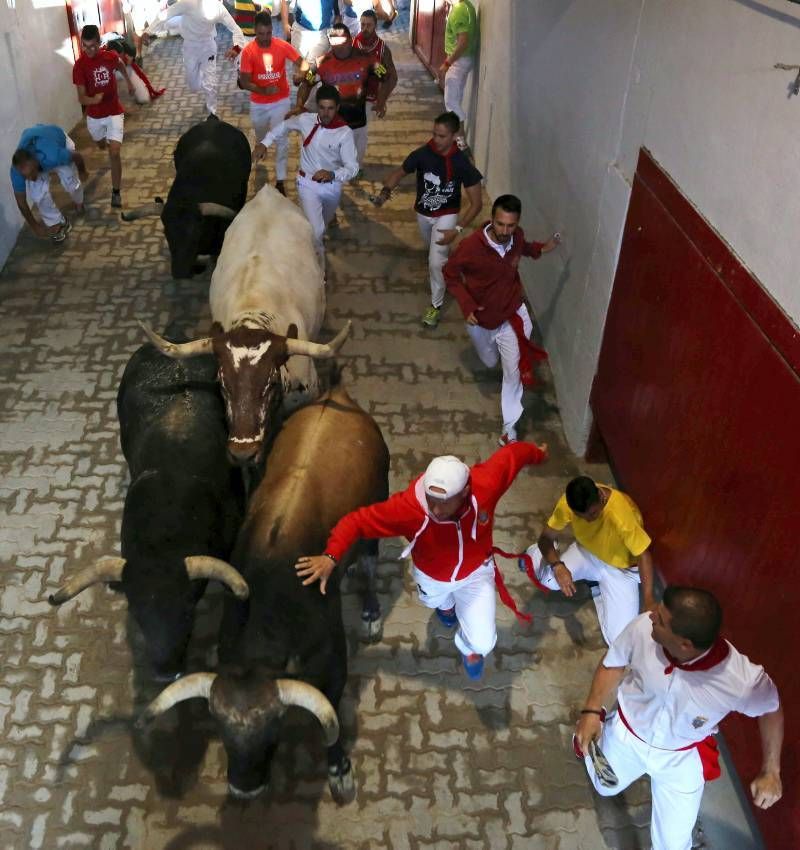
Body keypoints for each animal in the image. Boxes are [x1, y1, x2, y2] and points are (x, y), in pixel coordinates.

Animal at [140, 380, 390, 800]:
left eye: (274, 729)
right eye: (221, 731)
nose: (244, 788)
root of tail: (336, 396)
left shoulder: (332, 659)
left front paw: (339, 770)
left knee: (372, 560)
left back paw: (370, 611)